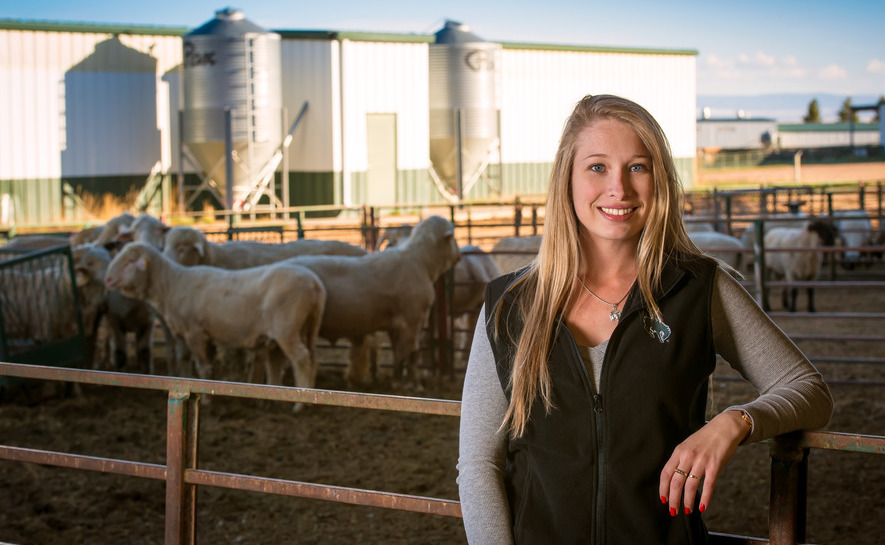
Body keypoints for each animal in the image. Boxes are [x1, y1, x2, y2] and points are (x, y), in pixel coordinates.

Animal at [103, 243, 324, 408]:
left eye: (130, 261)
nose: (108, 279)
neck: (172, 285)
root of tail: (314, 282)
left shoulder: (195, 333)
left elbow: (204, 366)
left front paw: (207, 400)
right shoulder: (195, 335)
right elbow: (193, 363)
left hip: (286, 329)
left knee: (301, 358)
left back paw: (301, 403)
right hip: (308, 326)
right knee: (307, 356)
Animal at [288, 215, 462, 388]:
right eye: (453, 237)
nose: (459, 255)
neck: (420, 261)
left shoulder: (395, 324)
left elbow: (397, 352)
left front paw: (397, 380)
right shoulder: (413, 319)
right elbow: (412, 352)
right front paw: (415, 384)